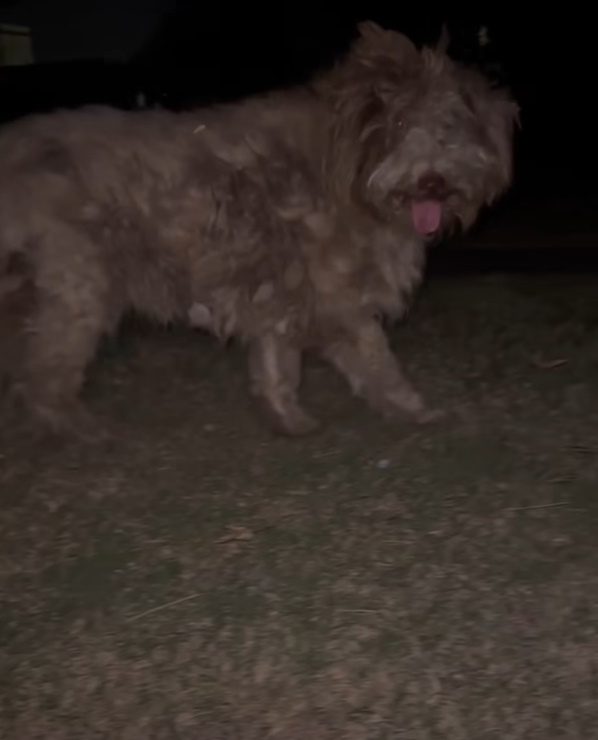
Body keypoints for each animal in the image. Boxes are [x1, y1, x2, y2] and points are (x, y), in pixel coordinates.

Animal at [0, 21, 520, 440]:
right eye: (398, 124)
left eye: (450, 127)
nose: (433, 181)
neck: (348, 176)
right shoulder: (337, 297)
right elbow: (375, 358)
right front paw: (409, 407)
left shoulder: (286, 293)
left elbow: (278, 363)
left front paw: (288, 419)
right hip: (78, 288)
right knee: (45, 375)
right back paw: (79, 428)